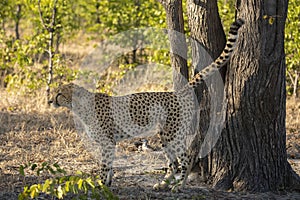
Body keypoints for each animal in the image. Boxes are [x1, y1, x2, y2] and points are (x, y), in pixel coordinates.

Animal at [48, 19, 243, 192]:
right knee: (173, 164)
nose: (50, 100)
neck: (80, 107)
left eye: (59, 93)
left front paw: (101, 185)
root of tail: (177, 92)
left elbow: (104, 165)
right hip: (164, 135)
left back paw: (179, 187)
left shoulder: (107, 142)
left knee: (185, 159)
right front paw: (108, 184)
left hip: (172, 133)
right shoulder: (110, 142)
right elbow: (109, 165)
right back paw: (163, 185)